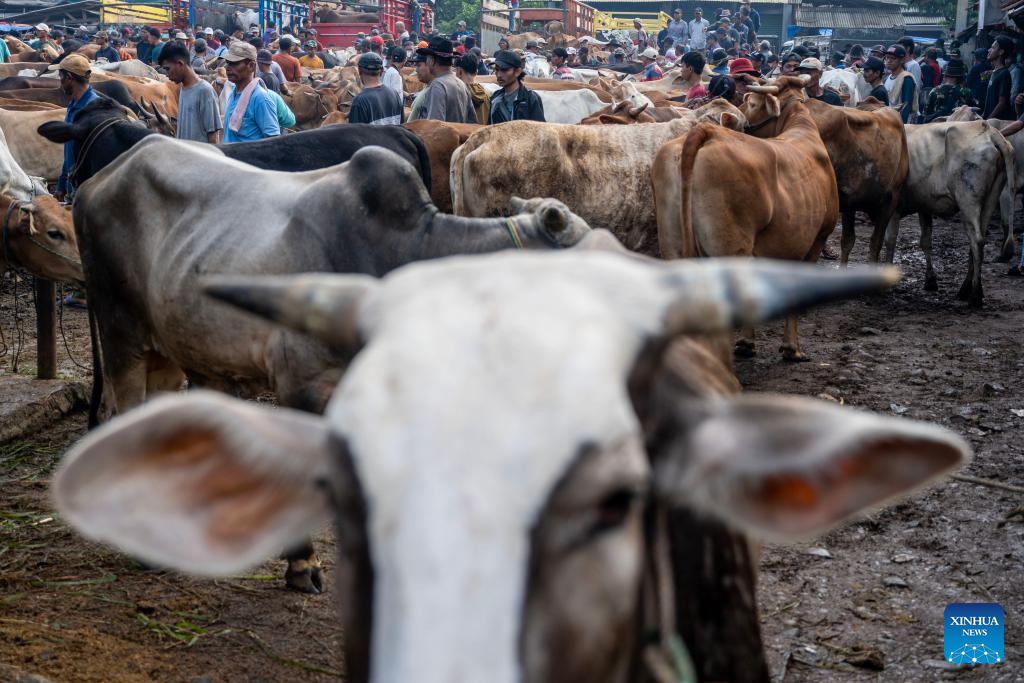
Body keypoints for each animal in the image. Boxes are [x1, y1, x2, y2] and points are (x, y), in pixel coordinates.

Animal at [653, 76, 839, 361]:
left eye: (750, 103)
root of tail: (709, 132)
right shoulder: (817, 238)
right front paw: (791, 347)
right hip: (730, 248)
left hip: (672, 243)